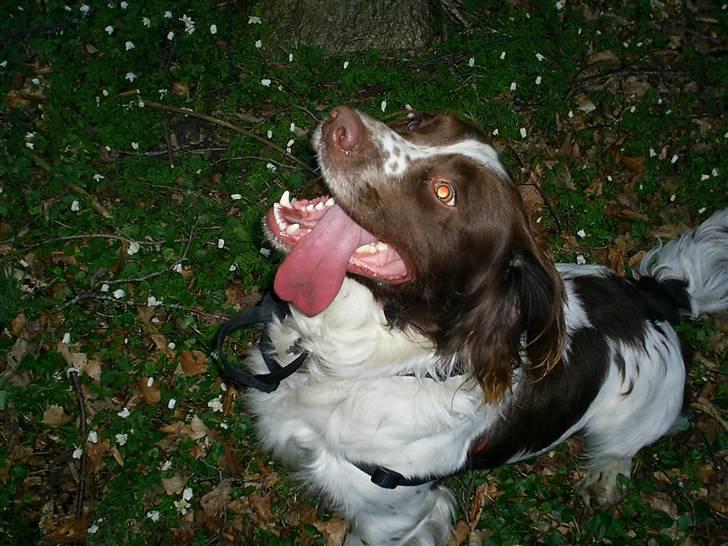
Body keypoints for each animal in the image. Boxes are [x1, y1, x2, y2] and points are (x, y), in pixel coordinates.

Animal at [240, 106, 728, 544]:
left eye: (445, 193)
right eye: (418, 121)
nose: (341, 124)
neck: (356, 364)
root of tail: (654, 299)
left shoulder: (394, 518)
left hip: (634, 416)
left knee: (624, 446)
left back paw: (606, 473)